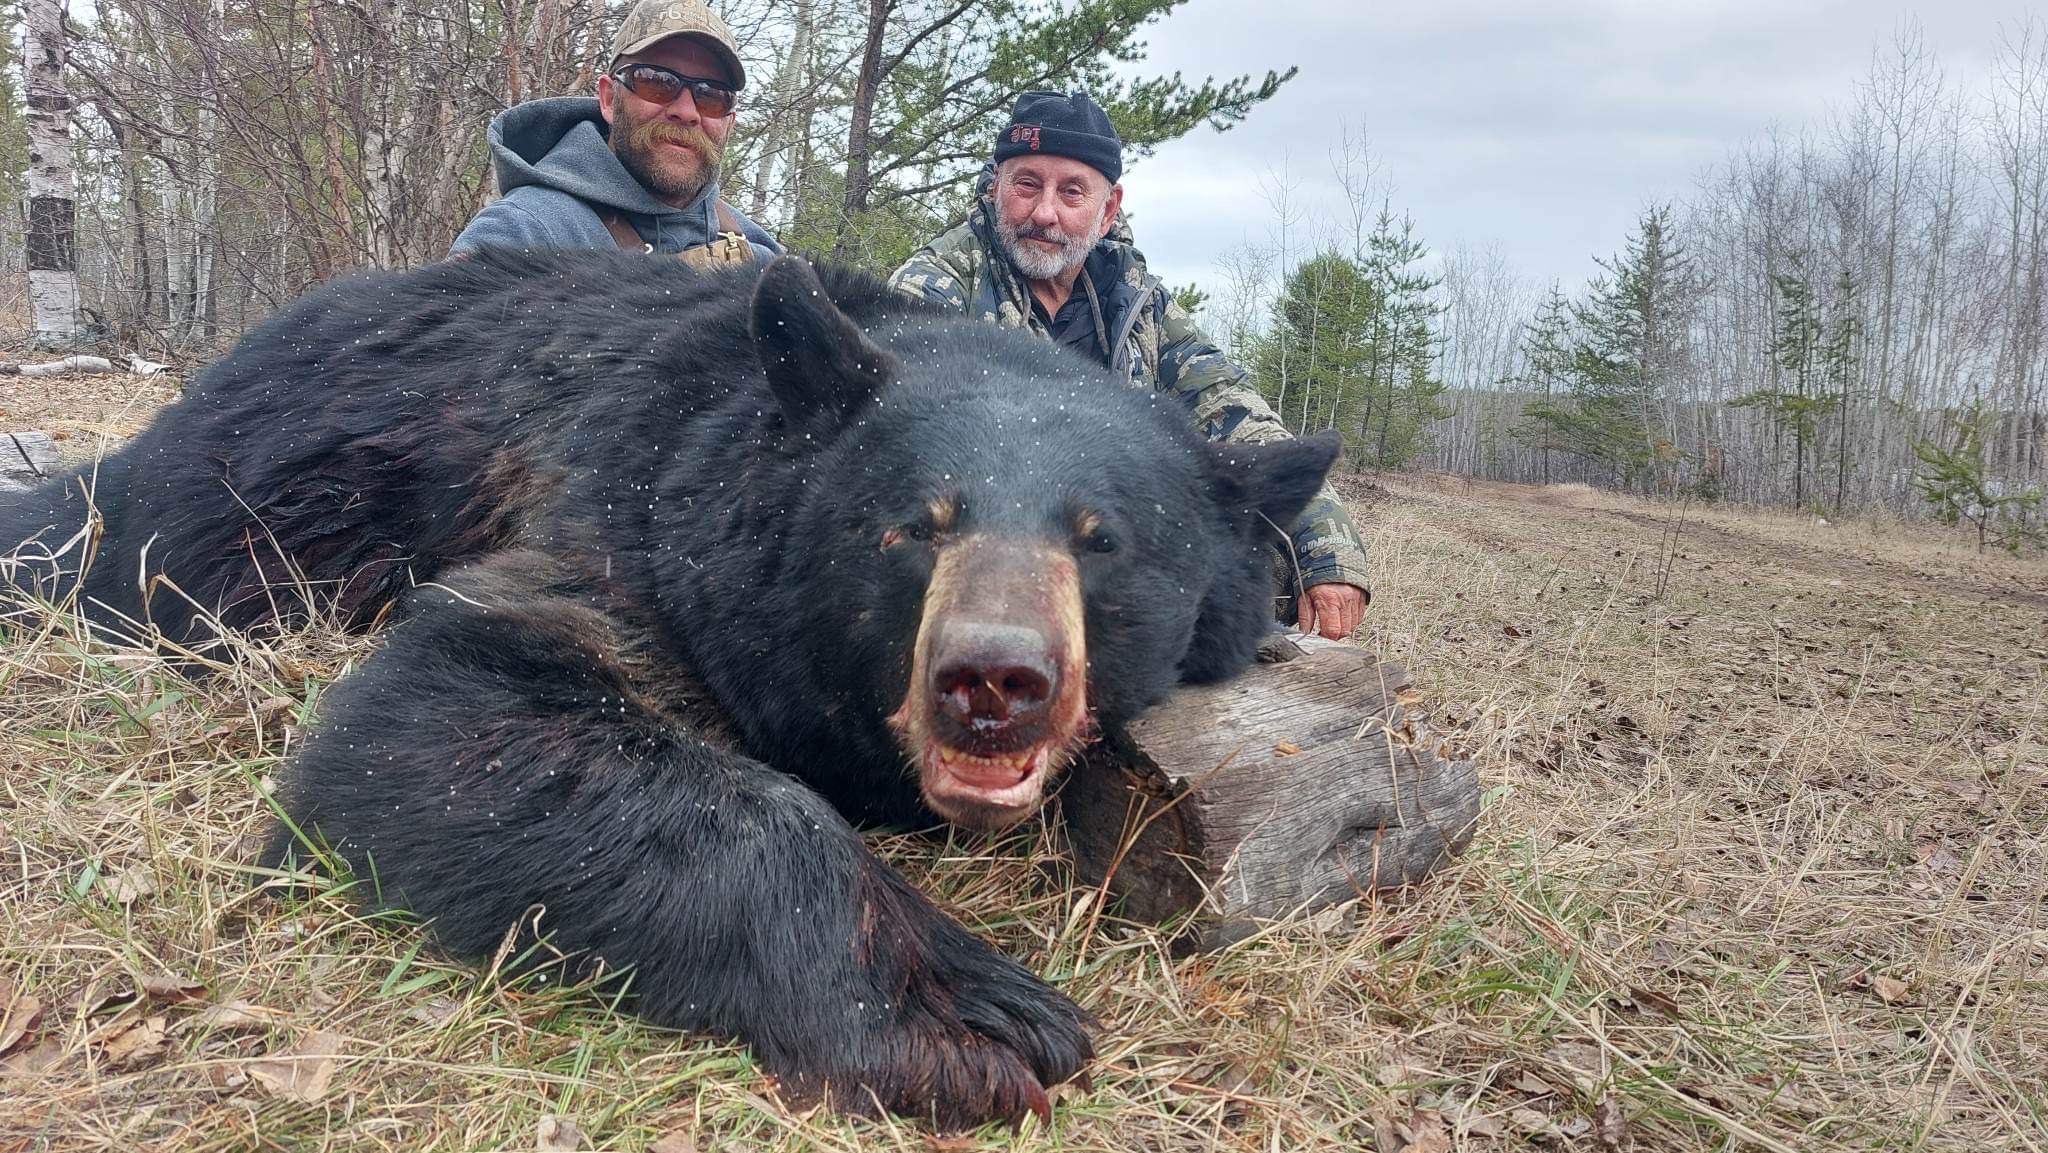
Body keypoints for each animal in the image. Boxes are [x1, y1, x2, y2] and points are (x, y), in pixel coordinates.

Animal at [0, 250, 1339, 1128]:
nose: (991, 678)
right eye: (918, 522)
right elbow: (436, 715)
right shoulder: (619, 520)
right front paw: (962, 1008)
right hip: (240, 494)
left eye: (1100, 540)